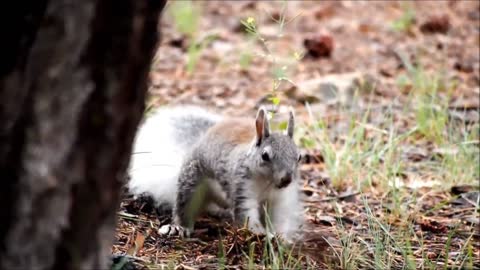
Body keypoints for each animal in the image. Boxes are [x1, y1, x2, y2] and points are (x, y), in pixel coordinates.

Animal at [127, 106, 304, 243]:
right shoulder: (241, 187)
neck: (267, 183)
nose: (287, 179)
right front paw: (263, 235)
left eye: (299, 157)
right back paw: (179, 227)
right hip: (192, 181)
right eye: (265, 156)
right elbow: (247, 216)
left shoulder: (281, 199)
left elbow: (281, 218)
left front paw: (282, 239)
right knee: (184, 206)